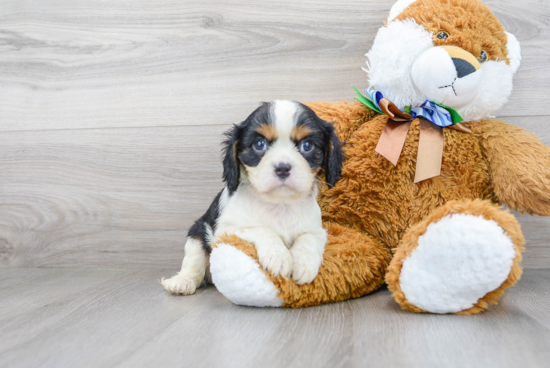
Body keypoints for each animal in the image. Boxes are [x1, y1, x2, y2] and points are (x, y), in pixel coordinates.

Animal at [163, 100, 344, 296]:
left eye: (307, 145)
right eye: (259, 144)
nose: (282, 167)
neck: (280, 204)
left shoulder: (317, 229)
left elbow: (308, 238)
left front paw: (304, 264)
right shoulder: (226, 231)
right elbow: (261, 229)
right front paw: (278, 255)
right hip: (198, 232)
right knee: (193, 262)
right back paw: (182, 281)